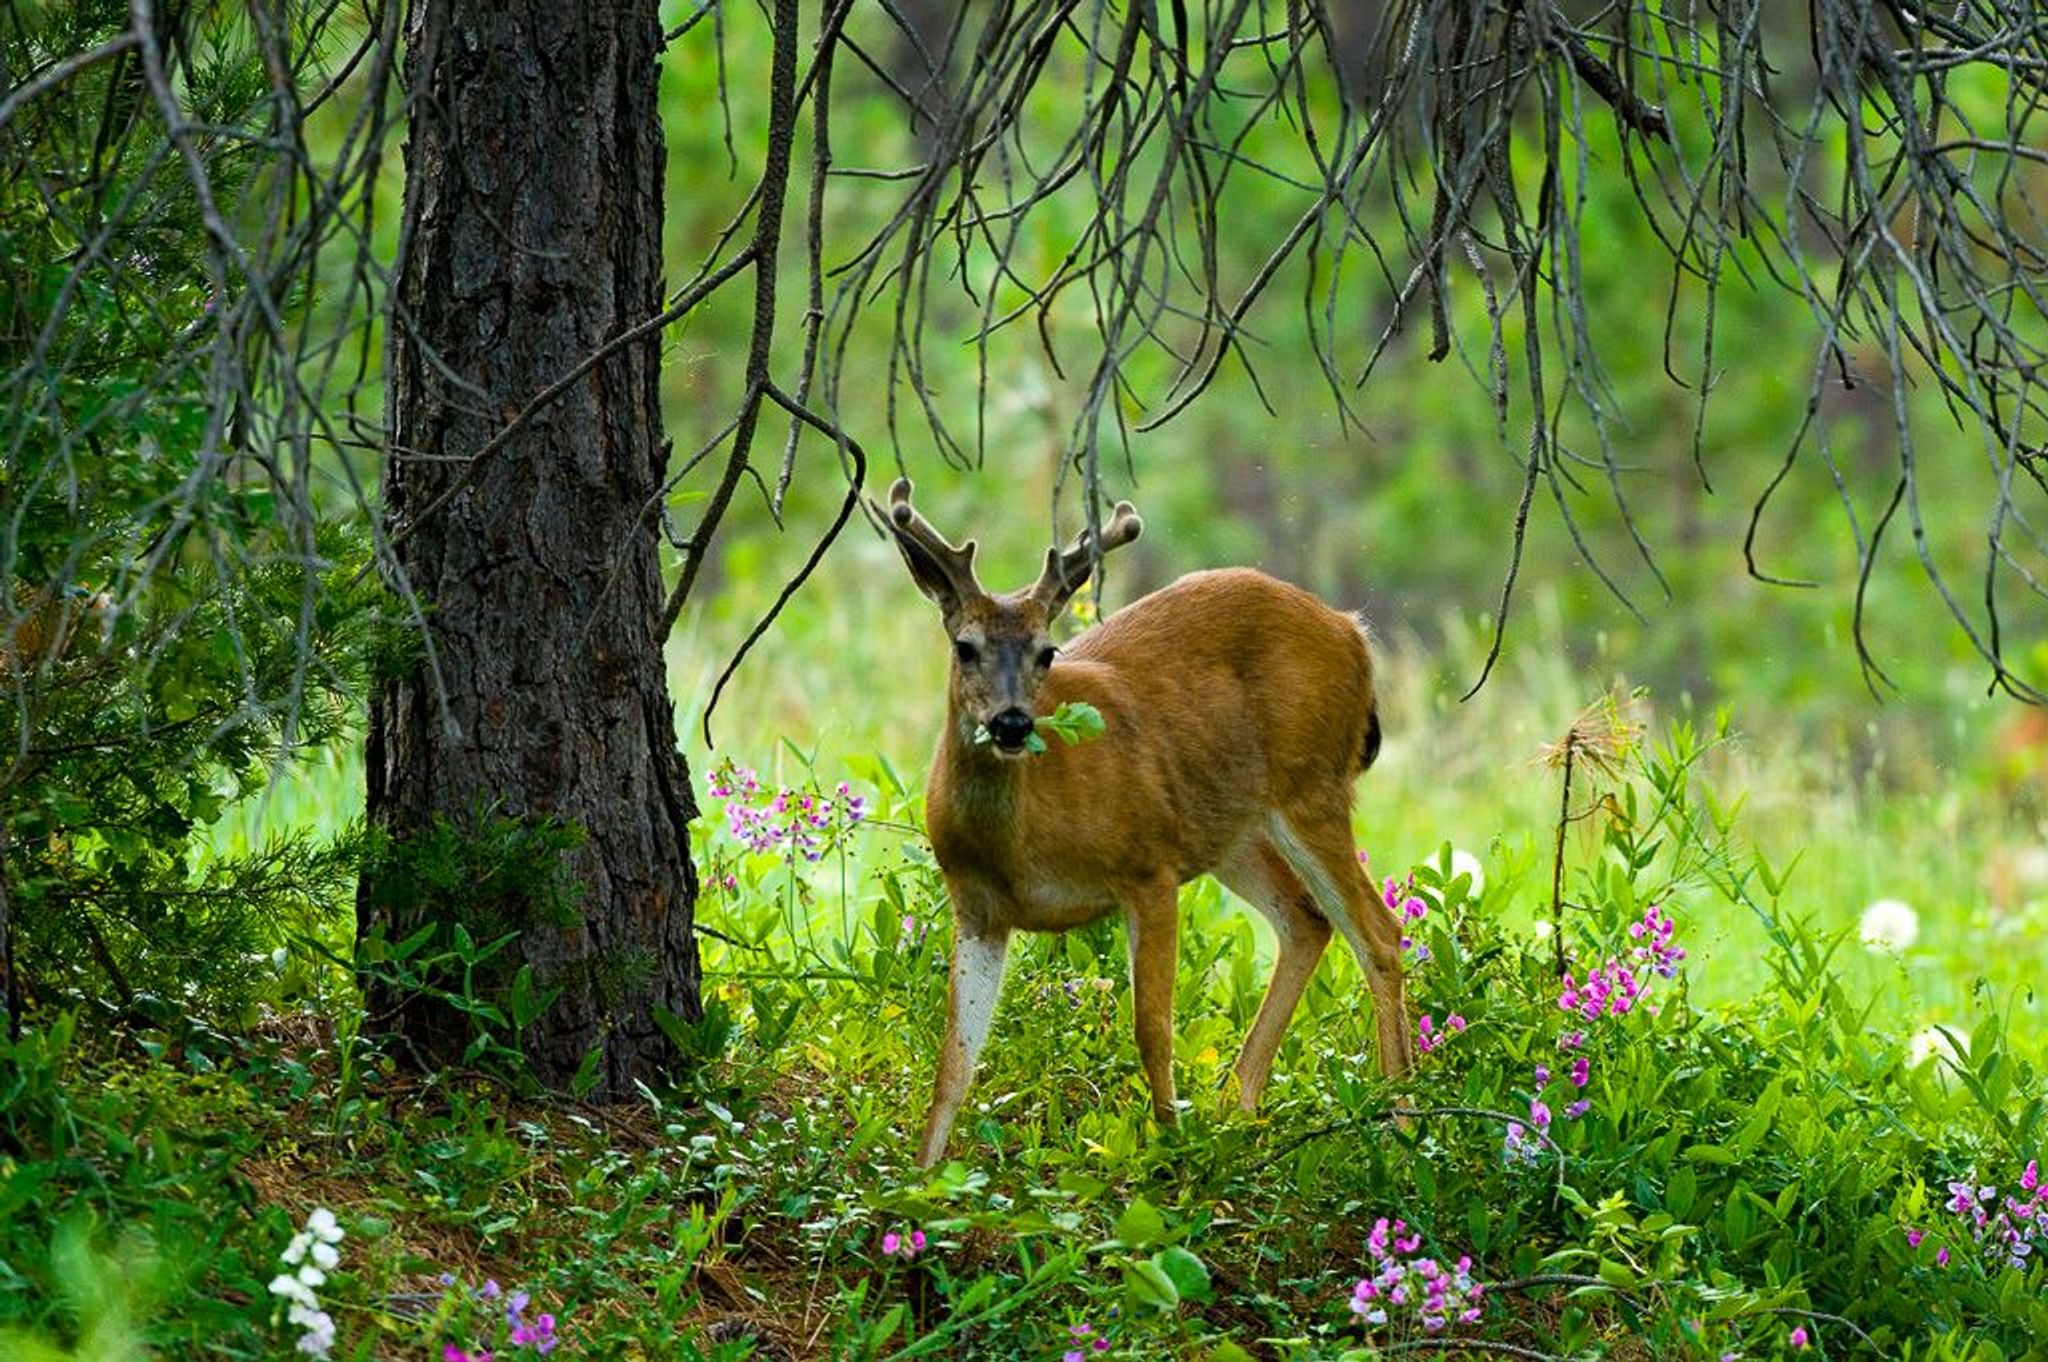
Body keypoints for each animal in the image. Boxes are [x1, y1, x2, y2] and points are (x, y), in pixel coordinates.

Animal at [880, 481, 1409, 1171]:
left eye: (1047, 651)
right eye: (964, 647)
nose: (1012, 722)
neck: (1021, 845)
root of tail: (1353, 630)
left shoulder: (1149, 866)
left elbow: (1152, 1029)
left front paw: (1169, 1151)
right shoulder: (978, 909)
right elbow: (955, 1061)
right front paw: (921, 1176)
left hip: (1309, 787)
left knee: (1378, 933)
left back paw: (1403, 1118)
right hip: (1230, 829)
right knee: (1306, 919)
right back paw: (1236, 1110)